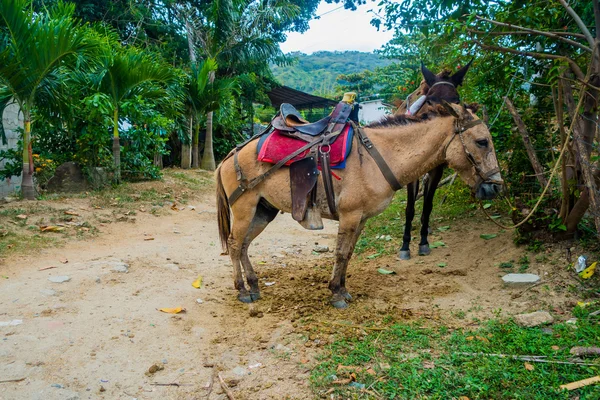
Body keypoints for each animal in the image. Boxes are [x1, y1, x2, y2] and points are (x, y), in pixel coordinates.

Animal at [216, 101, 502, 308]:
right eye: (482, 141)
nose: (496, 186)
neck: (379, 155)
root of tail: (230, 156)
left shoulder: (361, 218)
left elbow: (350, 253)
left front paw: (343, 289)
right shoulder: (350, 215)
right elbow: (341, 253)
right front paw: (336, 294)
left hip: (264, 210)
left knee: (244, 245)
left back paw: (253, 285)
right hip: (244, 208)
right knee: (234, 244)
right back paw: (242, 290)